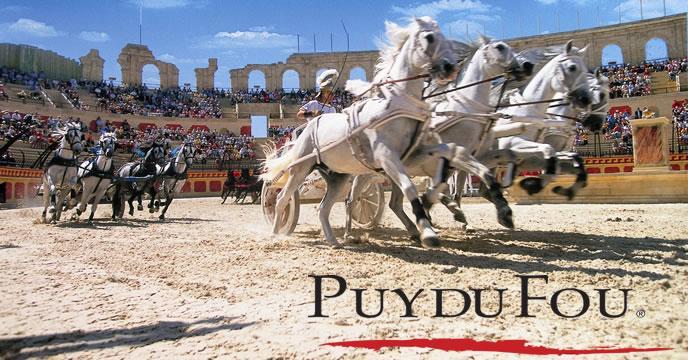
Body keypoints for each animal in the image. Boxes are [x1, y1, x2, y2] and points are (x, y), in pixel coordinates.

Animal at [260, 16, 460, 248]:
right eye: (429, 37)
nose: (451, 68)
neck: (396, 106)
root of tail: (309, 127)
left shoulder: (412, 155)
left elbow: (442, 166)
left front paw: (441, 206)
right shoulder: (387, 157)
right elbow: (409, 187)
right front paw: (427, 232)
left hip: (337, 176)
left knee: (324, 208)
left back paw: (334, 241)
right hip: (301, 167)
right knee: (282, 198)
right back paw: (276, 234)